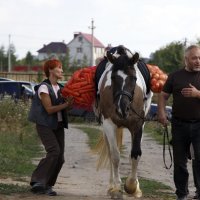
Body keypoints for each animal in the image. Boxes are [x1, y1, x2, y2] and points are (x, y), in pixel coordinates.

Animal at [93, 45, 152, 198]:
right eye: (113, 78)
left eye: (134, 78)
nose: (122, 107)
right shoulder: (109, 124)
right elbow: (115, 156)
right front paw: (117, 188)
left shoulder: (138, 125)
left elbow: (136, 154)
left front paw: (132, 187)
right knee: (110, 152)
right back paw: (111, 185)